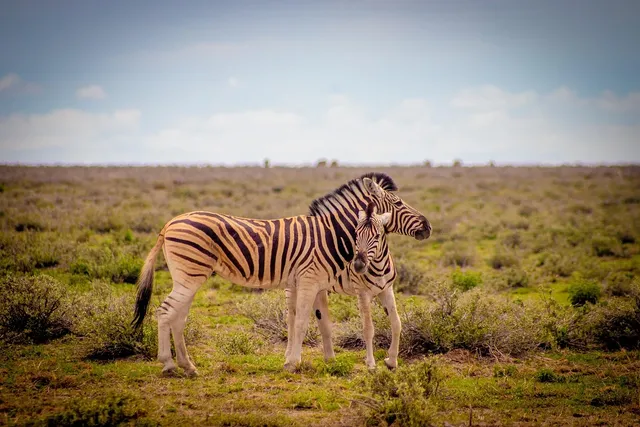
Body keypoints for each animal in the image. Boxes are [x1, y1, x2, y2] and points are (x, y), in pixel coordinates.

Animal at [132, 172, 431, 375]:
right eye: (398, 203)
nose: (427, 226)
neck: (330, 235)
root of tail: (169, 223)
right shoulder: (309, 280)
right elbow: (301, 323)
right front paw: (293, 363)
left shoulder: (311, 282)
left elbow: (313, 323)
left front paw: (314, 360)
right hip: (190, 274)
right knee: (165, 312)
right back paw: (169, 364)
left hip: (188, 276)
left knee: (177, 317)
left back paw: (188, 365)